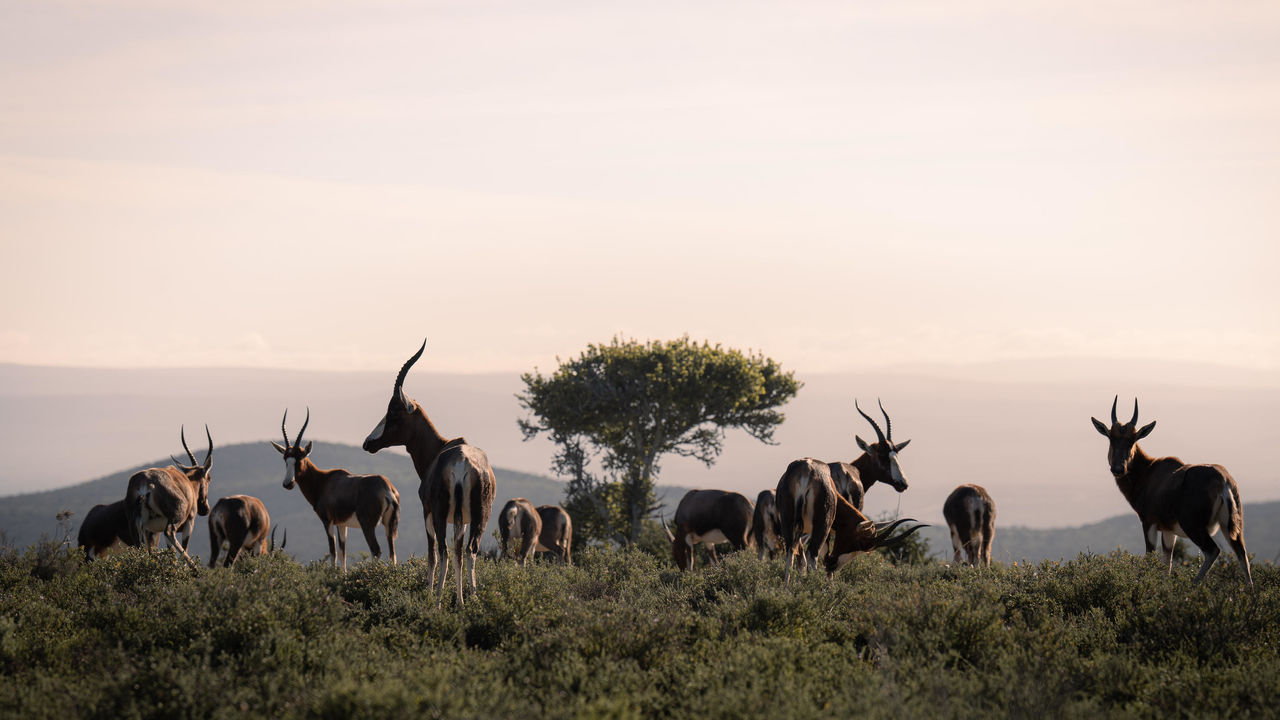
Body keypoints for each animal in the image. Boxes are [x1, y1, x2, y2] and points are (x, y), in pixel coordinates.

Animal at [125, 422, 212, 568]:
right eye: (209, 478)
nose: (205, 509)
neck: (187, 481)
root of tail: (146, 483)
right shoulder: (189, 523)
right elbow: (183, 546)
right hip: (174, 520)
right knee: (170, 533)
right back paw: (194, 568)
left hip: (138, 528)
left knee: (142, 549)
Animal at [275, 409, 399, 566]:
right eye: (285, 458)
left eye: (300, 458)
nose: (288, 483)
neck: (324, 481)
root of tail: (386, 488)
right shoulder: (342, 524)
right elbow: (342, 554)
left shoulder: (327, 521)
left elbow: (333, 552)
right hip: (389, 524)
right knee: (392, 553)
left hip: (367, 525)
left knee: (376, 550)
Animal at [366, 338, 499, 602]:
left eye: (393, 411)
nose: (369, 443)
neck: (443, 447)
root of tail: (462, 461)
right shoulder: (463, 519)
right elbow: (459, 552)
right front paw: (461, 598)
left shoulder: (426, 510)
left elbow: (432, 554)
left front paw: (429, 593)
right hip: (481, 515)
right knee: (469, 550)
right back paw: (470, 600)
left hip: (439, 513)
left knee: (444, 551)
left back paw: (437, 601)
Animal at [768, 456, 921, 579]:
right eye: (858, 543)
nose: (833, 565)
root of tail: (807, 471)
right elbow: (820, 556)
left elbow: (801, 561)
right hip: (822, 527)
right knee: (812, 555)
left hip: (788, 523)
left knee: (790, 552)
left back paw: (786, 589)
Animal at [1090, 394, 1249, 586]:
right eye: (1111, 437)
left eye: (1133, 439)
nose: (1118, 469)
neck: (1149, 470)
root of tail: (1223, 480)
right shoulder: (1168, 531)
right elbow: (1168, 564)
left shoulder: (1149, 523)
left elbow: (1151, 557)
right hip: (1231, 527)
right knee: (1242, 554)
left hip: (1193, 526)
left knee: (1213, 551)